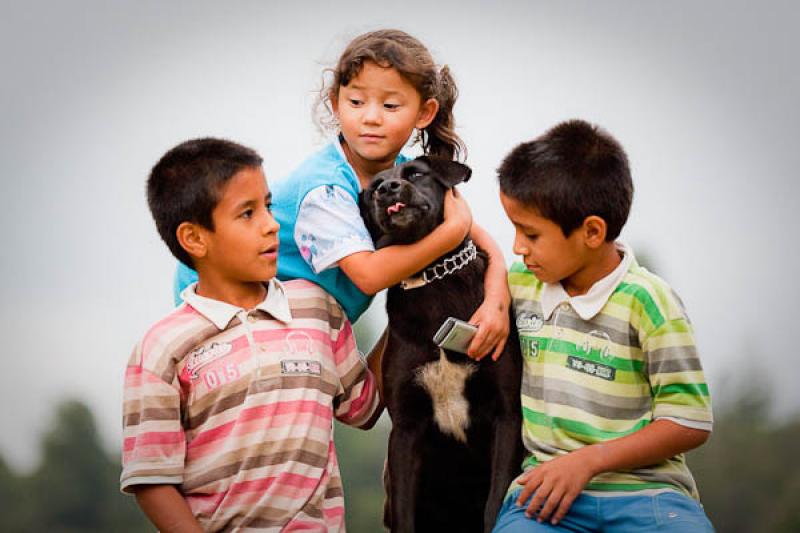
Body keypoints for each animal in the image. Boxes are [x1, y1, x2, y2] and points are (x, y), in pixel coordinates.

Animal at [360, 157, 524, 532]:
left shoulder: (507, 416)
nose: (387, 190)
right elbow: (405, 515)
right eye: (374, 188)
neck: (432, 277)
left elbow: (495, 505)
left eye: (416, 174)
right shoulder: (405, 429)